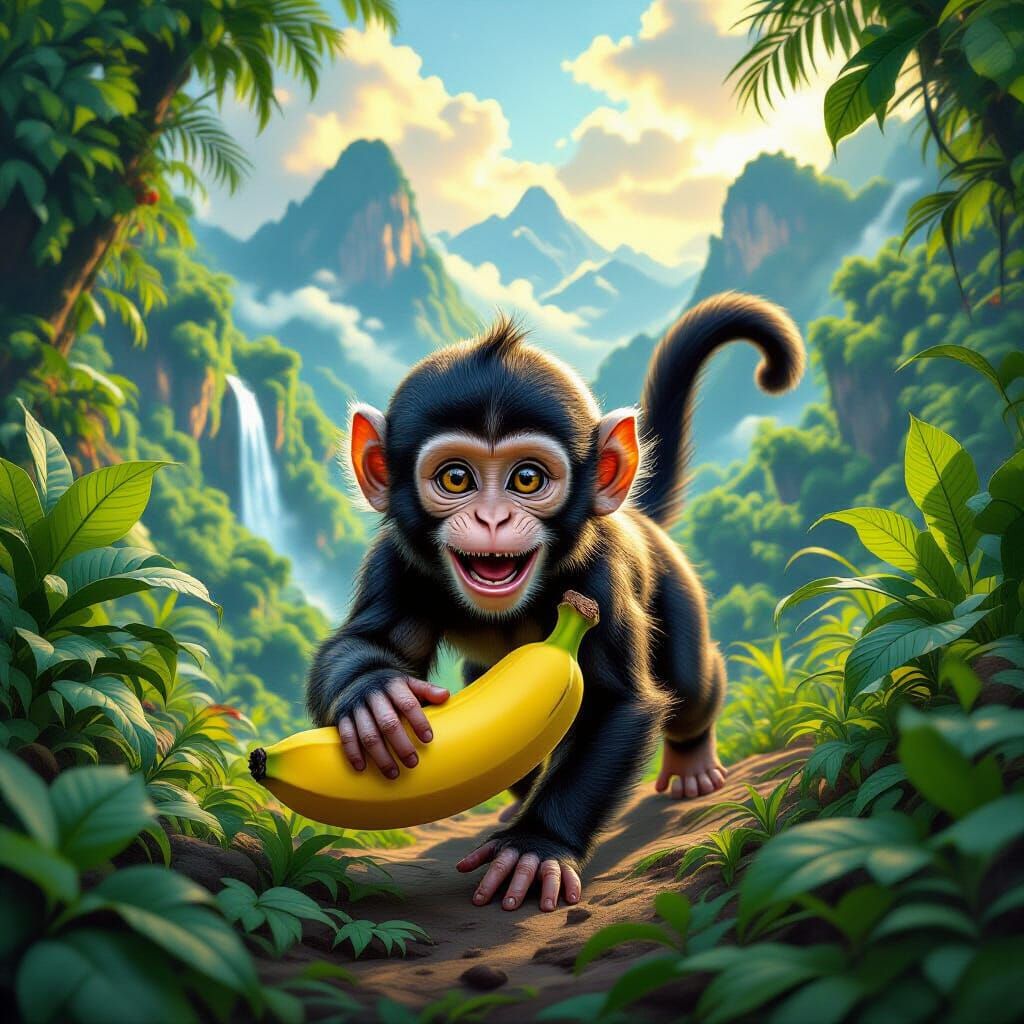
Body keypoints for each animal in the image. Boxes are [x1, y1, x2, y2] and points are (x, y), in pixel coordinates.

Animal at [307, 291, 804, 913]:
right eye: (455, 478)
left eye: (526, 479)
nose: (492, 519)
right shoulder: (396, 562)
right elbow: (368, 640)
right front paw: (373, 696)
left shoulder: (601, 579)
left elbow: (619, 705)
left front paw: (536, 846)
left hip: (678, 590)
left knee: (693, 686)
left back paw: (690, 755)